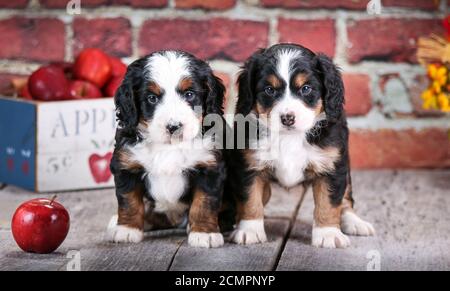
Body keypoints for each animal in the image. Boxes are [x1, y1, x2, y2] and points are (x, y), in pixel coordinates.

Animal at [107, 50, 227, 249]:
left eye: (189, 94)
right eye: (152, 98)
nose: (174, 126)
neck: (169, 146)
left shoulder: (210, 167)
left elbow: (204, 203)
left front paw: (204, 233)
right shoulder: (126, 165)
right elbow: (129, 200)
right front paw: (127, 230)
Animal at [230, 44, 374, 250]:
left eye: (306, 88)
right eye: (269, 90)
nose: (287, 118)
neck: (290, 137)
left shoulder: (332, 167)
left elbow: (329, 202)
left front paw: (328, 234)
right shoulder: (248, 165)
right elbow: (250, 199)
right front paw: (249, 231)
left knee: (346, 198)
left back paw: (354, 222)